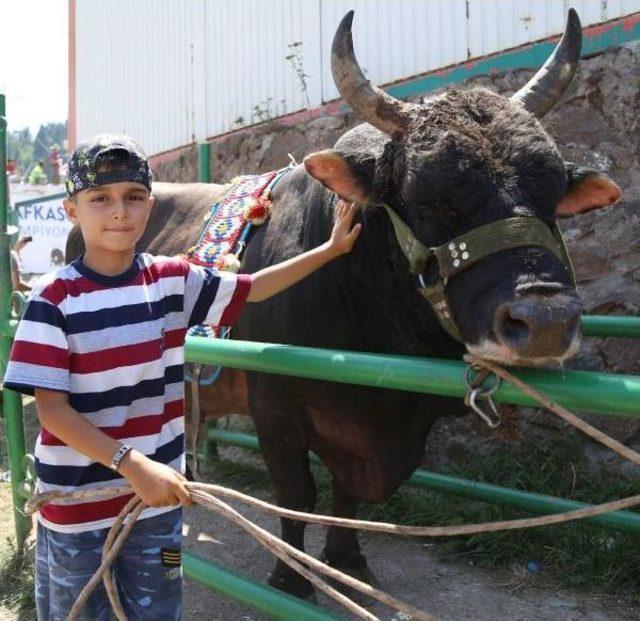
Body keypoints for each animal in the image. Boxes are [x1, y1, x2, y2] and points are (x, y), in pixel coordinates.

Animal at [66, 9, 620, 600]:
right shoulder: (275, 406)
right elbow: (297, 494)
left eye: (553, 190)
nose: (545, 320)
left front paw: (348, 560)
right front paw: (290, 576)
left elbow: (345, 499)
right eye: (427, 197)